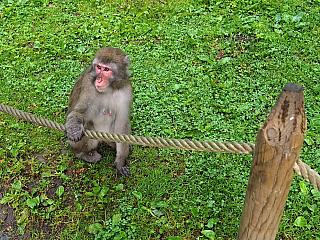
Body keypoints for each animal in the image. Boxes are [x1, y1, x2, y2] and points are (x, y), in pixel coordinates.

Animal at [65, 47, 133, 176]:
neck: (110, 88)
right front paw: (74, 129)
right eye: (98, 67)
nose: (99, 79)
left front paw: (120, 161)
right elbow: (79, 112)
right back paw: (82, 153)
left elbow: (121, 124)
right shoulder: (89, 86)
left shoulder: (126, 91)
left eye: (106, 69)